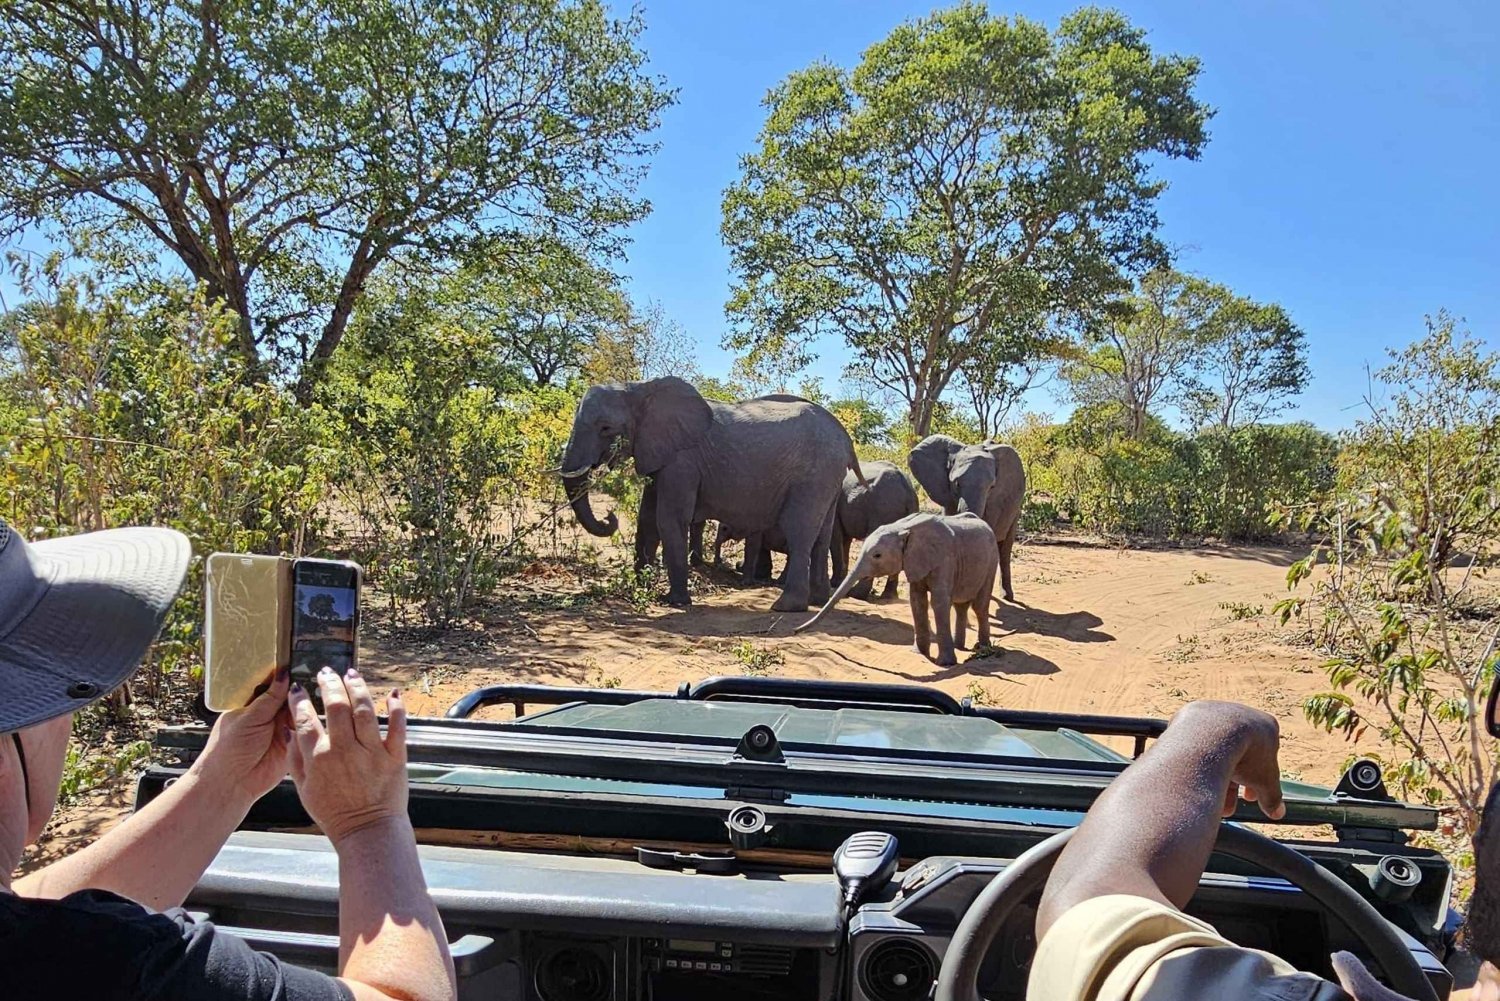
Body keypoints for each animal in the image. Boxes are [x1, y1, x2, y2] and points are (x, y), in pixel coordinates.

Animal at [561, 375, 864, 612]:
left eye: (605, 428)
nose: (609, 517)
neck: (639, 388)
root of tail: (846, 439)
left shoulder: (682, 461)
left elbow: (669, 519)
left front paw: (675, 601)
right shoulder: (660, 454)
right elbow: (646, 518)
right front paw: (641, 588)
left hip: (814, 475)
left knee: (799, 530)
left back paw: (786, 606)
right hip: (828, 477)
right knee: (822, 535)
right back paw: (817, 601)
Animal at [798, 513, 996, 669]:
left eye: (877, 556)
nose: (795, 630)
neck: (903, 528)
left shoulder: (944, 559)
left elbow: (938, 602)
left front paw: (945, 664)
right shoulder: (915, 561)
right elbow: (917, 600)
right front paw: (918, 653)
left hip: (991, 565)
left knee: (979, 606)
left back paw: (982, 648)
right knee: (960, 606)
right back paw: (959, 646)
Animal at [828, 459, 918, 600]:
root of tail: (908, 492)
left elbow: (836, 538)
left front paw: (835, 583)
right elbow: (844, 541)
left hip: (883, 509)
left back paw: (856, 594)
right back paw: (888, 597)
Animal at [906, 432, 1026, 603]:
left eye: (992, 487)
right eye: (956, 484)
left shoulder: (995, 501)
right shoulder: (947, 494)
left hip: (1015, 509)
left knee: (1005, 547)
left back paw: (1007, 596)